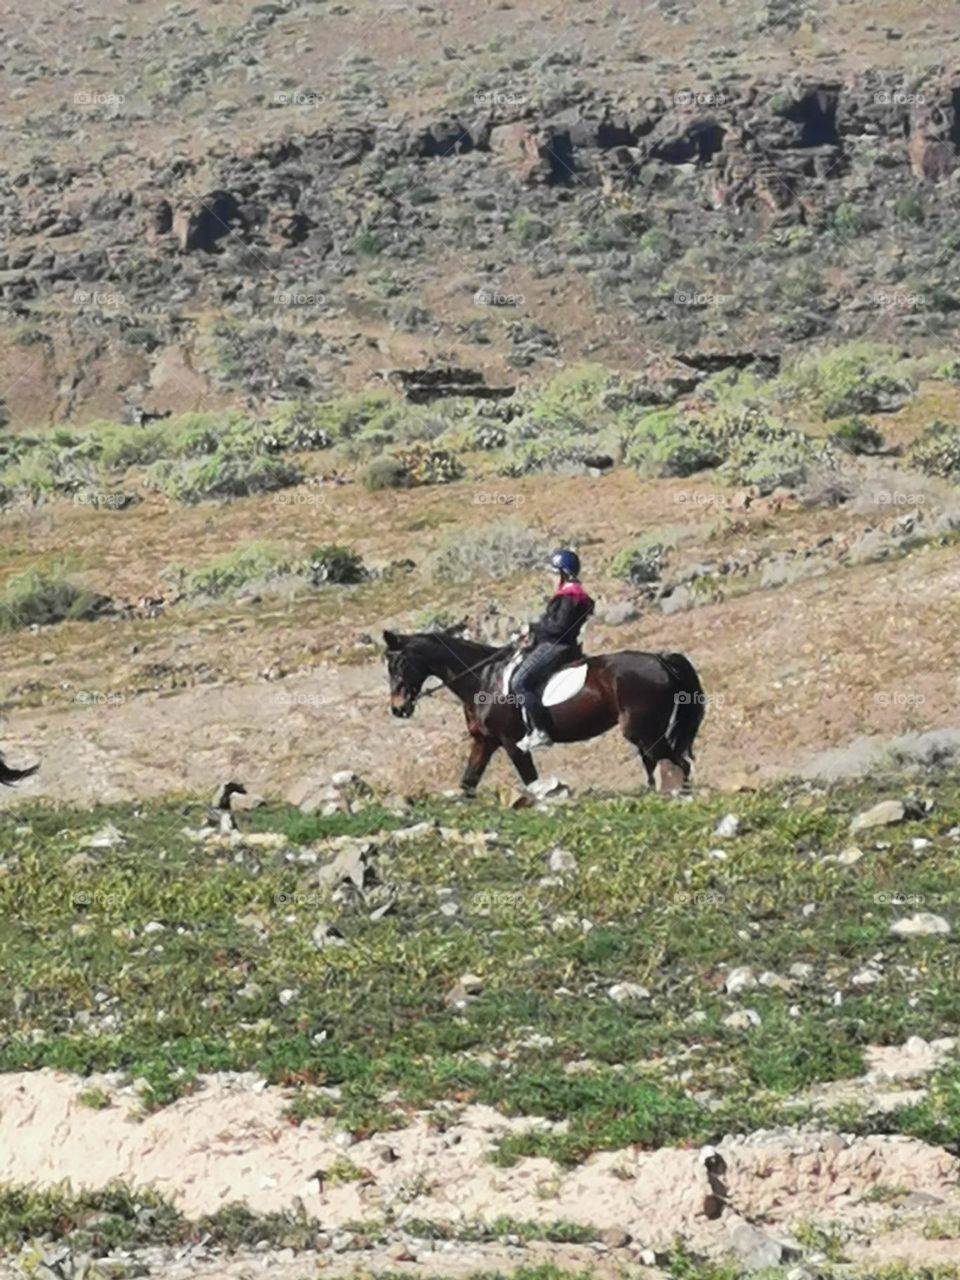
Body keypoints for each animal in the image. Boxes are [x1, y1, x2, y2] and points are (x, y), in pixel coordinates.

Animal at [383, 627, 705, 796]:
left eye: (399, 663)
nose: (399, 708)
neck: (483, 678)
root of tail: (661, 660)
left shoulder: (512, 743)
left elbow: (531, 781)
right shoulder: (485, 742)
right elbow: (468, 782)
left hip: (645, 733)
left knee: (678, 765)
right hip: (645, 735)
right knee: (661, 766)